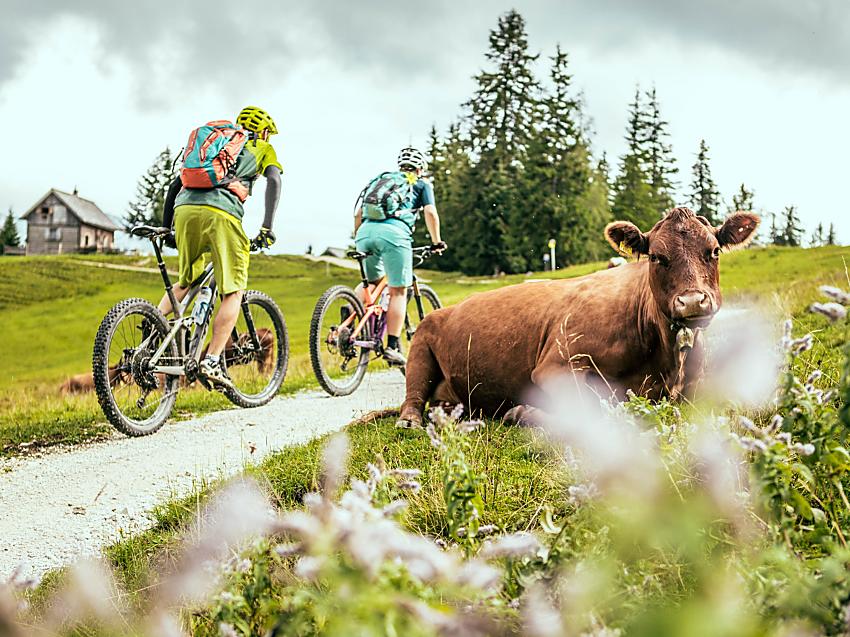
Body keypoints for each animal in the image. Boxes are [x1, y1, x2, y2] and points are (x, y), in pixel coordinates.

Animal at [398, 207, 760, 428]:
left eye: (714, 251)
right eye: (657, 256)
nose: (692, 301)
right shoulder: (553, 366)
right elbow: (593, 407)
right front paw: (524, 411)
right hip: (420, 344)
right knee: (413, 397)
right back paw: (411, 419)